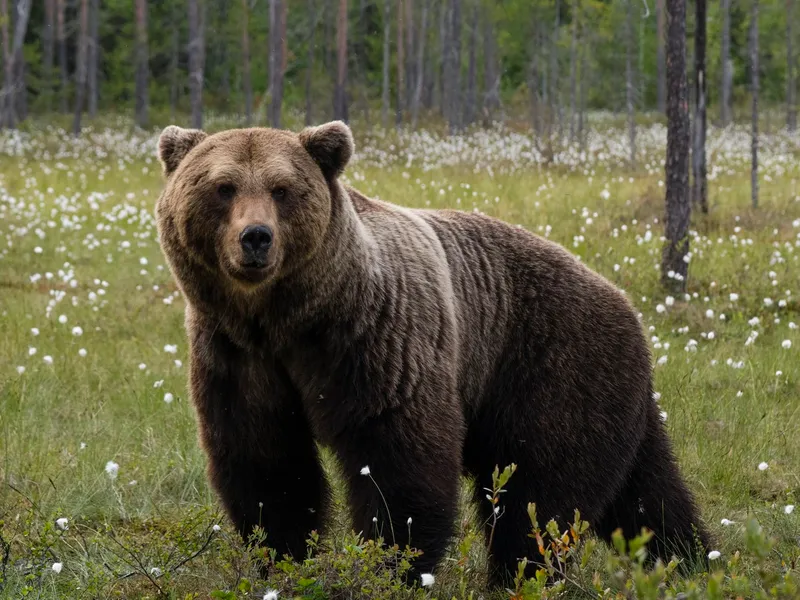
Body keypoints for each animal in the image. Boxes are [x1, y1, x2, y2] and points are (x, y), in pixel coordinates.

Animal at [153, 120, 708, 584]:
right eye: (223, 187)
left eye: (282, 189)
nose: (256, 238)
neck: (289, 320)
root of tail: (628, 306)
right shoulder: (235, 356)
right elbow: (266, 460)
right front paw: (283, 558)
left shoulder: (377, 341)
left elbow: (399, 460)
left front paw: (393, 565)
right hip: (609, 395)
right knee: (648, 495)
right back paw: (691, 560)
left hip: (553, 363)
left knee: (543, 493)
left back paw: (517, 576)